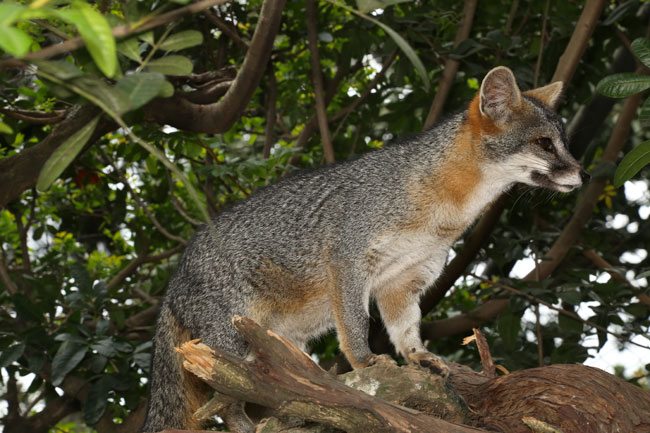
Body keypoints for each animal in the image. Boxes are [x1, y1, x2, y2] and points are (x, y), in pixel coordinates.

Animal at [140, 66, 588, 430]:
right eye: (545, 144)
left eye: (565, 142)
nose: (584, 175)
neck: (442, 210)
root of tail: (173, 282)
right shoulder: (348, 258)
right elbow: (356, 323)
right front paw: (364, 362)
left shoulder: (404, 279)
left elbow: (406, 328)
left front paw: (417, 357)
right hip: (233, 346)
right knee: (226, 405)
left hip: (279, 349)